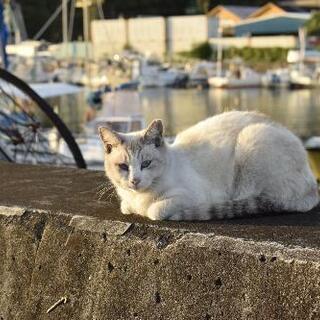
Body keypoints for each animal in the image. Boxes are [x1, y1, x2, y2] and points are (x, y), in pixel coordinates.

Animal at [99, 110, 318, 220]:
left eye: (146, 163)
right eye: (123, 166)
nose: (135, 180)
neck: (139, 198)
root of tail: (313, 187)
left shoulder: (194, 196)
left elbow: (154, 211)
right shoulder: (127, 202)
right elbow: (126, 207)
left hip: (253, 139)